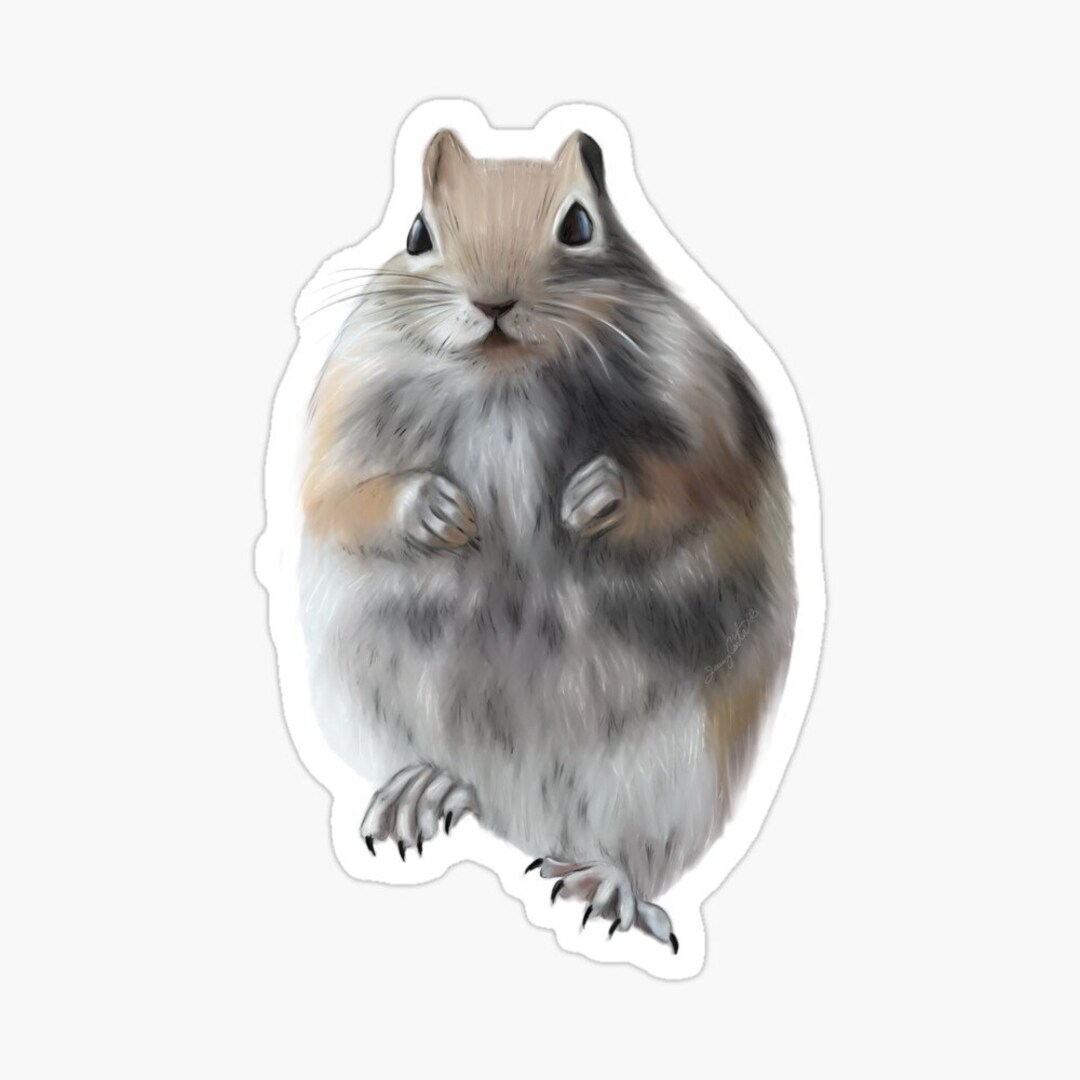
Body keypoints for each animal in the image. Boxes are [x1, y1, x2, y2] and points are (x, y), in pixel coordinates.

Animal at [298, 129, 796, 952]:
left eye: (580, 226)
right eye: (417, 234)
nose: (493, 301)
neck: (506, 379)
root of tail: (525, 822)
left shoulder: (709, 414)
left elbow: (691, 486)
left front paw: (594, 498)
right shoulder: (344, 411)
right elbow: (341, 495)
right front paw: (435, 511)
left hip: (678, 773)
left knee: (636, 849)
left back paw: (605, 883)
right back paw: (424, 786)